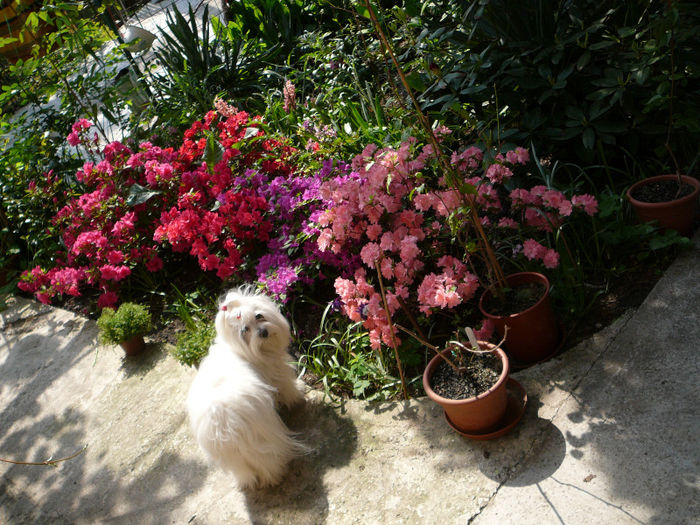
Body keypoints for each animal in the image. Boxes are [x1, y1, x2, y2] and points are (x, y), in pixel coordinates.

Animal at [187, 286, 304, 488]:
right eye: (245, 330)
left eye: (259, 316)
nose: (263, 332)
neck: (242, 349)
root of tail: (223, 426)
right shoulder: (276, 373)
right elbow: (287, 387)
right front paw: (299, 392)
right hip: (261, 433)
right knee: (268, 460)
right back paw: (277, 474)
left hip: (237, 458)